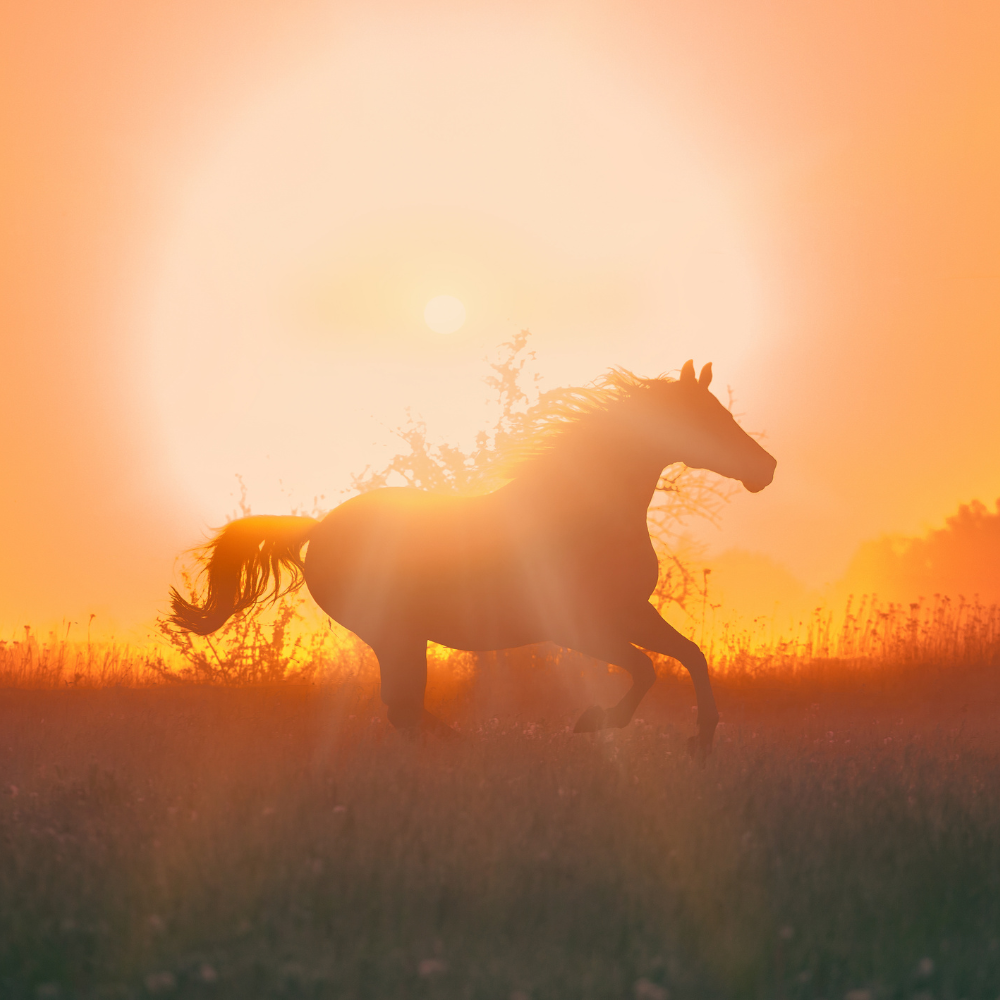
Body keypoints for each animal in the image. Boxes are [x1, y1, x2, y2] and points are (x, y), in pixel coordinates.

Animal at [170, 360, 776, 755]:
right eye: (707, 418)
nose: (765, 469)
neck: (584, 513)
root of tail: (320, 528)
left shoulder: (629, 613)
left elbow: (691, 655)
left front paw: (702, 738)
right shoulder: (575, 626)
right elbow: (647, 668)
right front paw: (592, 722)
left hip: (402, 637)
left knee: (403, 706)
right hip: (395, 633)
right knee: (402, 706)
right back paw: (462, 751)